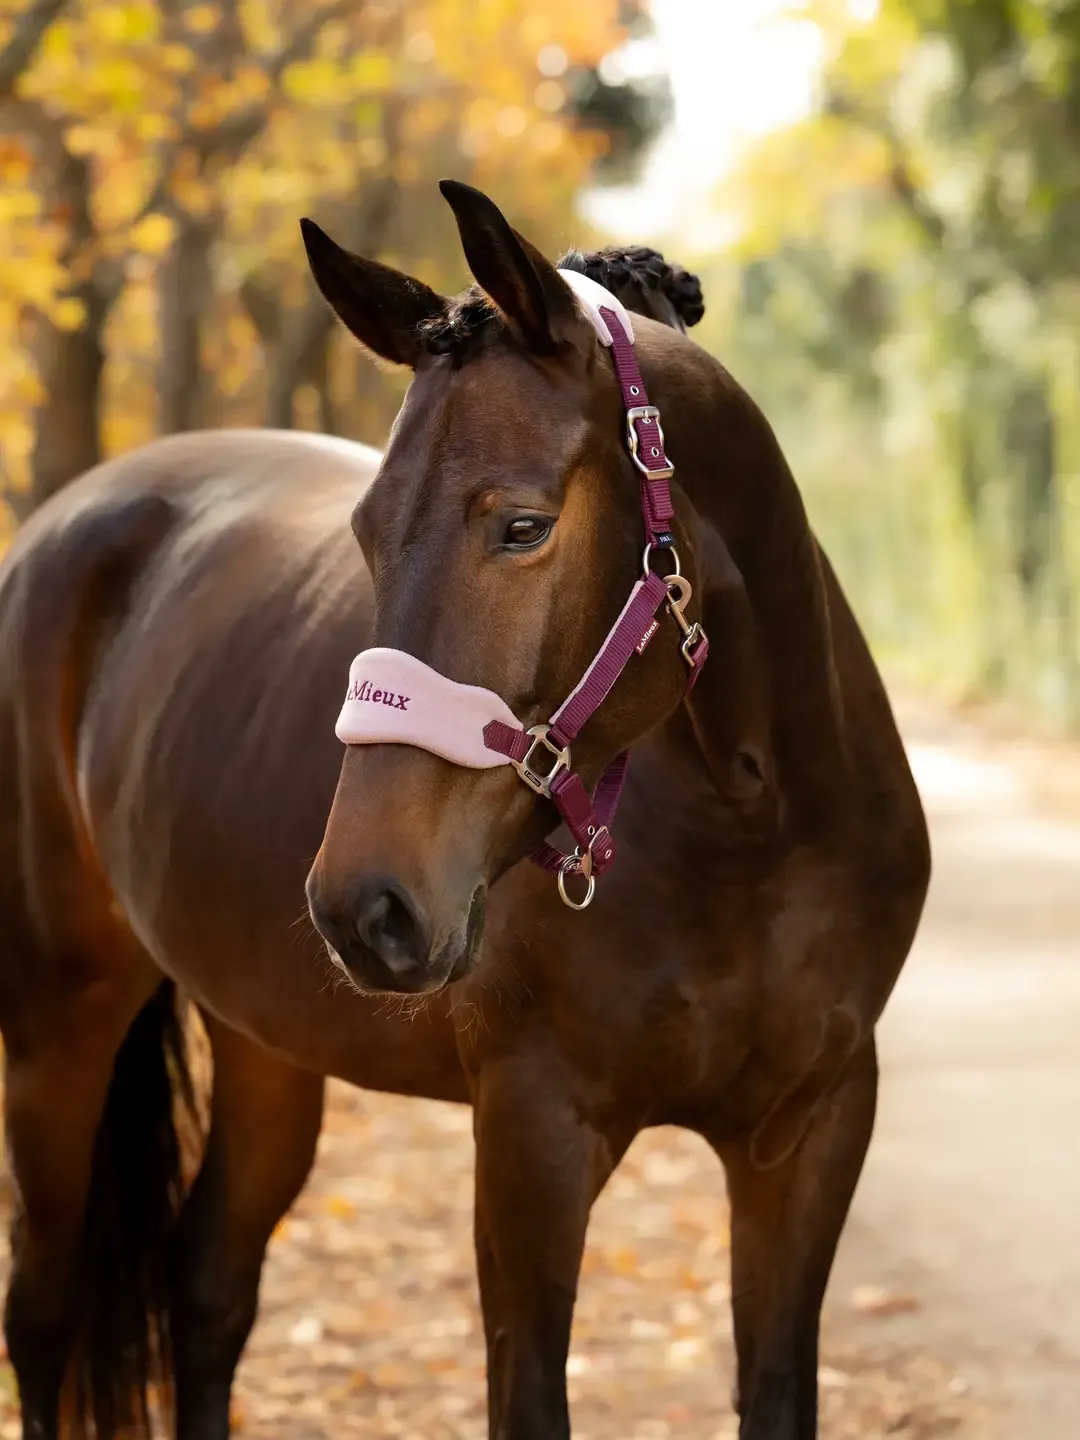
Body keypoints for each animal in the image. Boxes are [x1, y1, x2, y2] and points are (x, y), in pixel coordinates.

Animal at [0, 182, 930, 1440]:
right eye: (364, 534)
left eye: (523, 525)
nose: (366, 905)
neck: (757, 823)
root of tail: (61, 524)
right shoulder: (534, 1136)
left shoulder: (815, 1131)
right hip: (58, 1027)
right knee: (44, 1315)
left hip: (263, 1042)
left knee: (209, 1285)